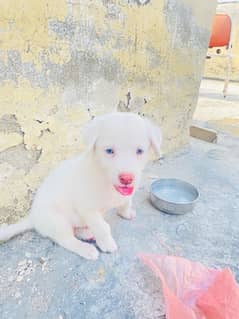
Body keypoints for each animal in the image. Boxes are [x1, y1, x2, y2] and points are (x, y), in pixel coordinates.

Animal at [0, 112, 162, 260]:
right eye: (109, 151)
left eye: (139, 151)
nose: (126, 178)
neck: (105, 179)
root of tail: (32, 217)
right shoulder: (88, 209)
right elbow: (102, 227)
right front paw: (107, 243)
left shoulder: (126, 193)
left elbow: (126, 202)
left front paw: (126, 213)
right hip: (58, 222)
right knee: (67, 240)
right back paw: (86, 249)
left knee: (77, 229)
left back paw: (86, 233)